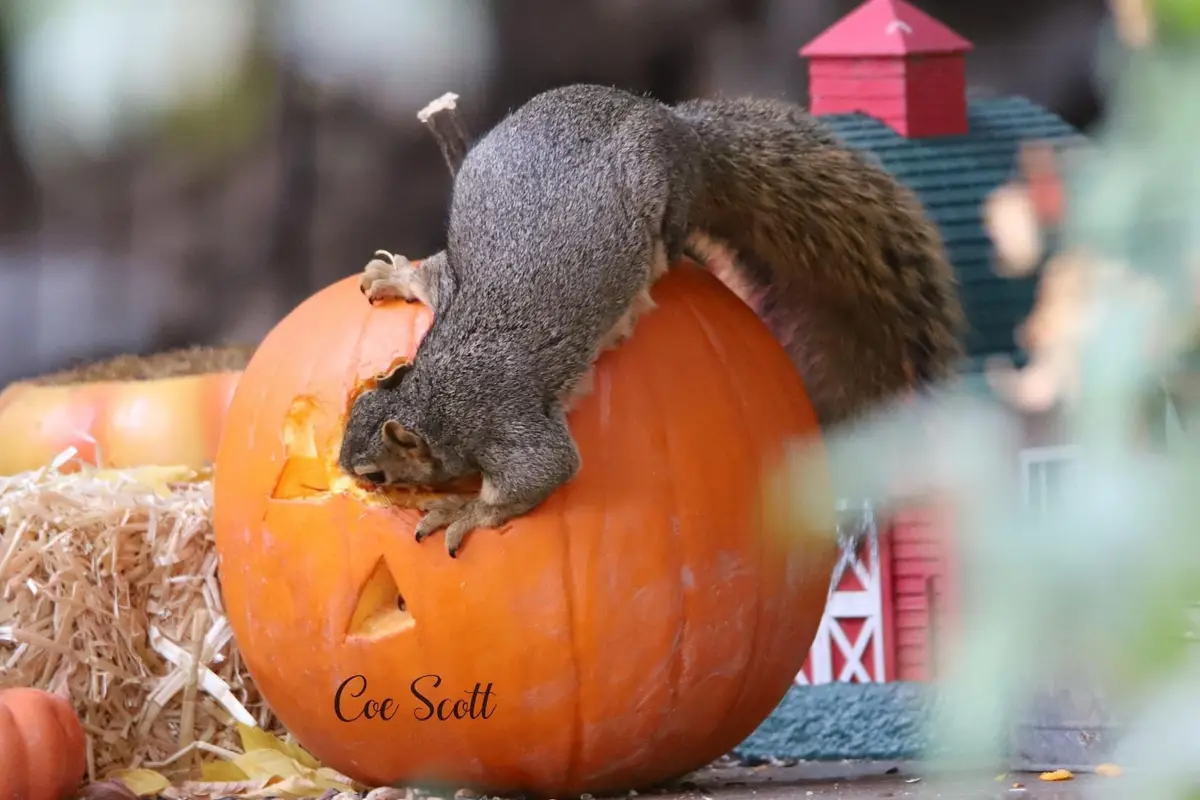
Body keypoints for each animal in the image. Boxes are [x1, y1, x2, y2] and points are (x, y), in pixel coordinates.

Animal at [337, 83, 965, 558]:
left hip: (665, 196)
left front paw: (463, 510)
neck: (437, 387)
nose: (342, 470)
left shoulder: (505, 422)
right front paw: (393, 276)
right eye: (356, 410)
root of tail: (675, 125)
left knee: (673, 240)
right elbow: (432, 274)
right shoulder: (452, 291)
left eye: (376, 475)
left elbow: (543, 471)